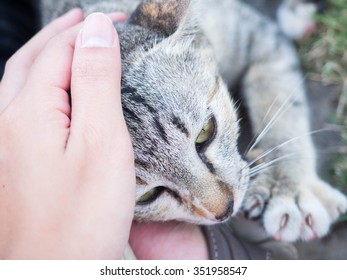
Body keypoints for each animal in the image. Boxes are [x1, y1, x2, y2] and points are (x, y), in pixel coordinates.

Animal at [39, 0, 346, 242]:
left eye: (205, 133)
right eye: (147, 196)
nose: (225, 209)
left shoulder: (259, 36)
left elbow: (283, 109)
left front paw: (290, 190)